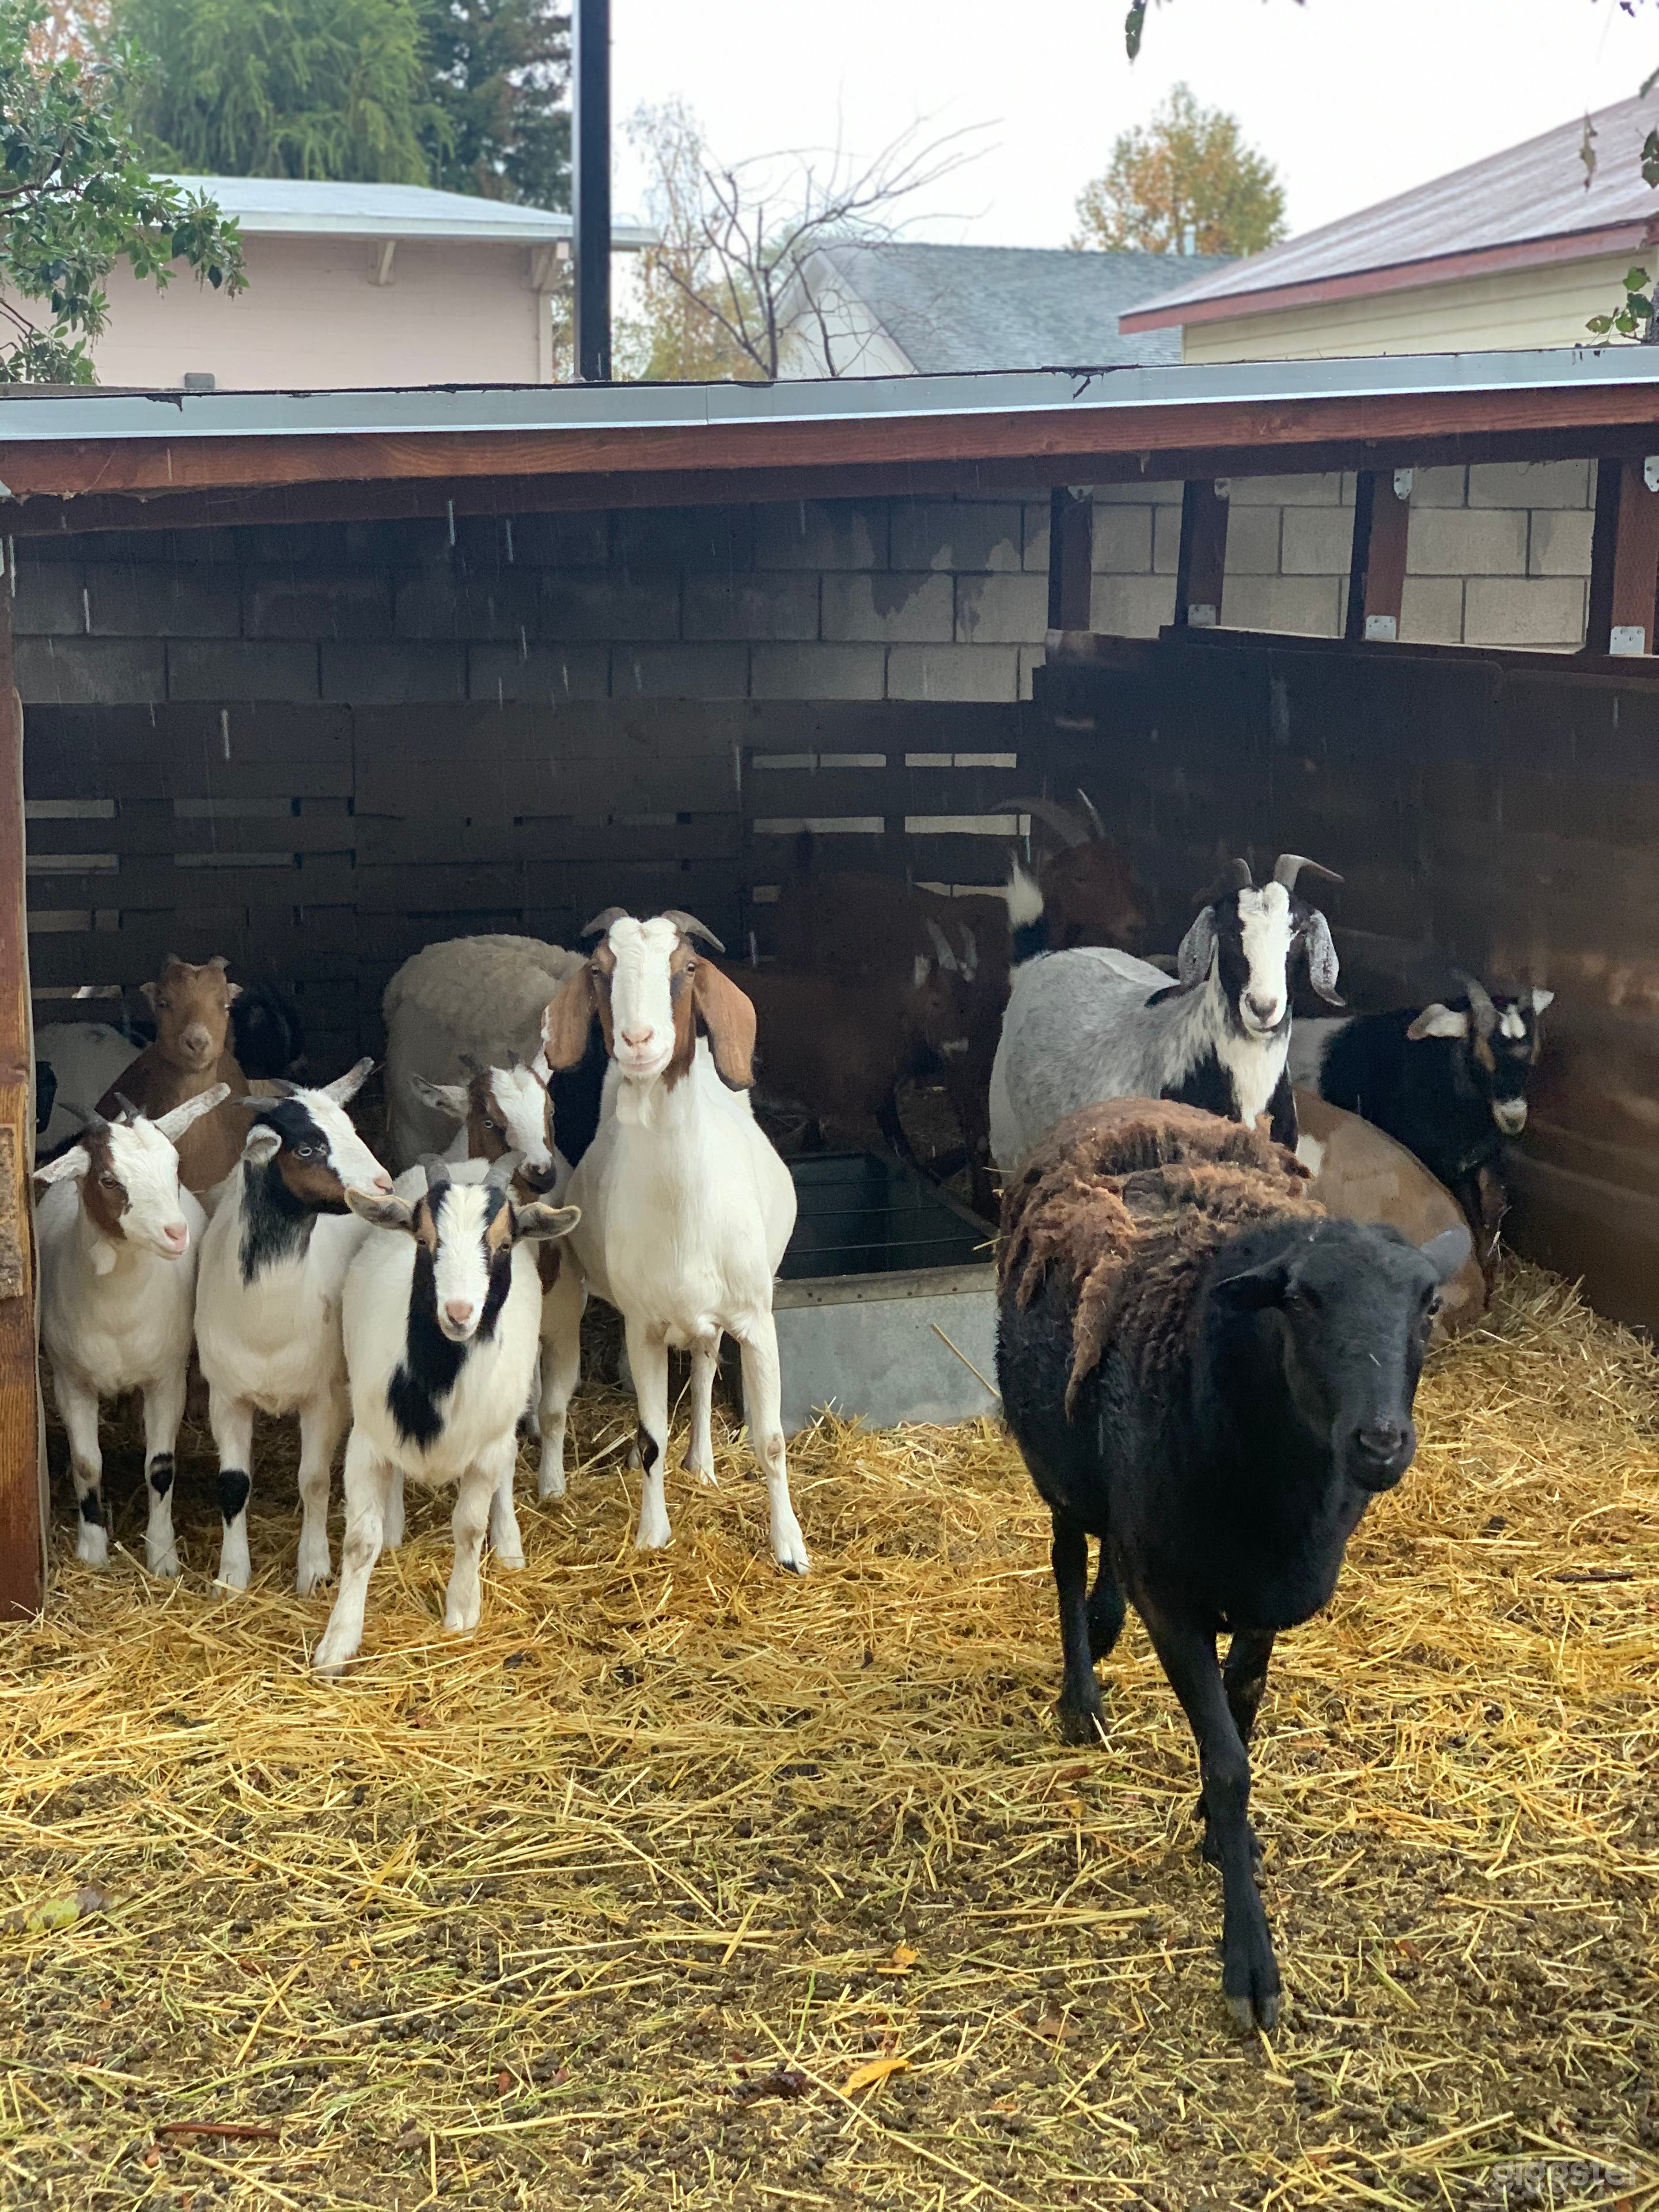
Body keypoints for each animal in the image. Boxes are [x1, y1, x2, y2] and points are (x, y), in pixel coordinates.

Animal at [34, 1086, 230, 1573]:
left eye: (175, 1165)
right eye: (108, 1179)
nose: (175, 1233)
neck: (118, 1314)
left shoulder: (166, 1378)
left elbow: (160, 1466)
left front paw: (163, 1555)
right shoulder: (71, 1380)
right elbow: (87, 1463)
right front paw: (93, 1548)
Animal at [193, 1061, 391, 1594]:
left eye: (351, 1129)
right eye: (307, 1148)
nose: (382, 1186)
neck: (266, 1326)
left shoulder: (323, 1398)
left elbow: (314, 1480)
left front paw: (315, 1569)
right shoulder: (226, 1398)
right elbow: (232, 1483)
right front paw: (231, 1575)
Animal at [310, 1157, 578, 1675]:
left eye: (504, 1244)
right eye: (422, 1239)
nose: (458, 1313)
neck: (438, 1384)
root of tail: (469, 1163)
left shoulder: (487, 1447)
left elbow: (469, 1527)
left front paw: (461, 1611)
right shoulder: (367, 1441)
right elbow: (359, 1540)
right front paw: (338, 1644)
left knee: (507, 1472)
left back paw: (509, 1544)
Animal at [539, 909, 808, 1569]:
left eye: (686, 967)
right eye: (599, 969)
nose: (638, 1042)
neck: (684, 1208)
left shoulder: (756, 1318)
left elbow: (771, 1440)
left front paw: (790, 1546)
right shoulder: (645, 1326)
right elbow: (651, 1435)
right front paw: (652, 1532)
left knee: (708, 1372)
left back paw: (705, 1464)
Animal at [996, 1097, 1470, 2032]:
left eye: (1430, 1303)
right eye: (1302, 1299)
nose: (1381, 1443)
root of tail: (1124, 1105)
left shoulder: (1261, 1598)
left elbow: (1242, 1718)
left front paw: (1226, 1838)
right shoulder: (1177, 1605)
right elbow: (1228, 1761)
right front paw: (1250, 1960)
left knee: (1109, 1554)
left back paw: (1103, 1627)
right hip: (1059, 1460)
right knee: (1068, 1557)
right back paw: (1081, 1694)